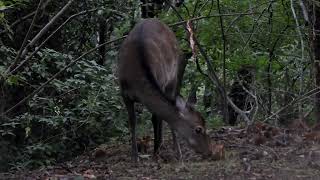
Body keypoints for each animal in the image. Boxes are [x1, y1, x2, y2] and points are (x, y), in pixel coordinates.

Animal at [117, 17, 210, 162]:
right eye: (198, 129)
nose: (209, 151)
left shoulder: (161, 82)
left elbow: (156, 118)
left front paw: (156, 152)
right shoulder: (124, 92)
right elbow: (132, 122)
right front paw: (135, 157)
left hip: (174, 76)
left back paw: (176, 151)